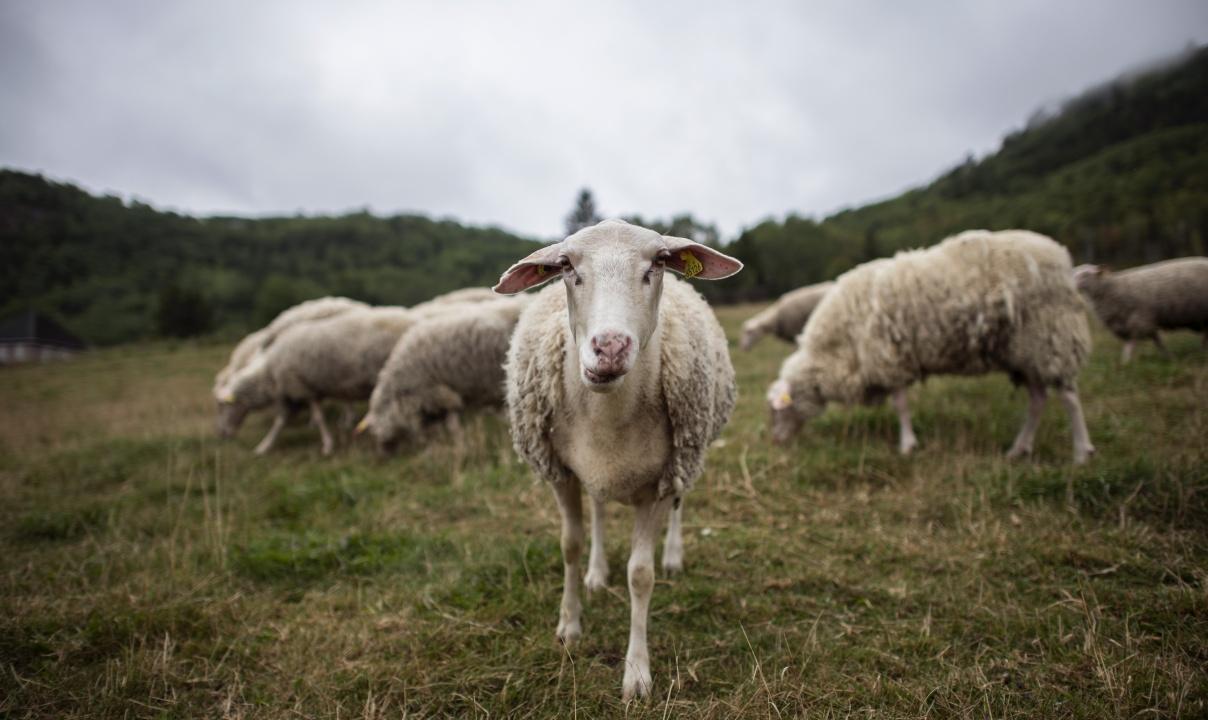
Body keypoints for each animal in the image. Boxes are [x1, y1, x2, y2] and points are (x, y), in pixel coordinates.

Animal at [495, 217, 739, 695]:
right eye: (566, 266)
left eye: (658, 262)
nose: (609, 347)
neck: (607, 413)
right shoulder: (561, 473)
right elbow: (569, 545)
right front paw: (569, 626)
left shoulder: (660, 482)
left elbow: (640, 575)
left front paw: (637, 673)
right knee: (599, 508)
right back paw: (596, 573)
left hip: (688, 455)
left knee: (680, 505)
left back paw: (673, 555)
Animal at [768, 230, 1101, 466]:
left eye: (776, 411)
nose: (776, 442)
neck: (837, 348)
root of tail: (1062, 259)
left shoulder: (888, 359)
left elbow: (900, 406)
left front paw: (907, 445)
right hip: (1023, 352)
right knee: (1038, 400)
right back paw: (1018, 449)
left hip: (1052, 337)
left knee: (1069, 398)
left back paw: (1081, 453)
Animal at [1077, 256, 1208, 362]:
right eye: (1074, 272)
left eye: (1086, 274)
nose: (1074, 284)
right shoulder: (1138, 323)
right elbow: (1157, 341)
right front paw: (1169, 357)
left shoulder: (1140, 320)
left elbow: (1133, 344)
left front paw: (1125, 362)